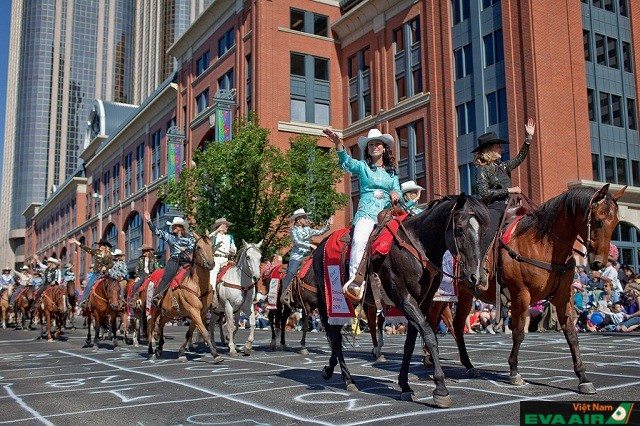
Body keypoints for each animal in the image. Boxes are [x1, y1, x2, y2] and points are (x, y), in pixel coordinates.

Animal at [312, 193, 488, 406]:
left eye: (484, 230)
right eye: (460, 228)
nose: (476, 277)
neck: (418, 246)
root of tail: (319, 247)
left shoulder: (422, 303)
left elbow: (410, 344)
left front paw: (405, 385)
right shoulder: (404, 299)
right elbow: (429, 335)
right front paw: (440, 388)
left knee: (335, 335)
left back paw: (329, 370)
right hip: (337, 301)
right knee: (336, 336)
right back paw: (348, 379)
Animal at [444, 185, 624, 394]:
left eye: (616, 223)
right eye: (597, 220)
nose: (599, 263)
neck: (544, 245)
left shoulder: (564, 297)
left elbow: (571, 335)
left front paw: (583, 378)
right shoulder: (521, 295)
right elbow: (519, 332)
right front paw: (514, 372)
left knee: (453, 325)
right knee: (451, 324)